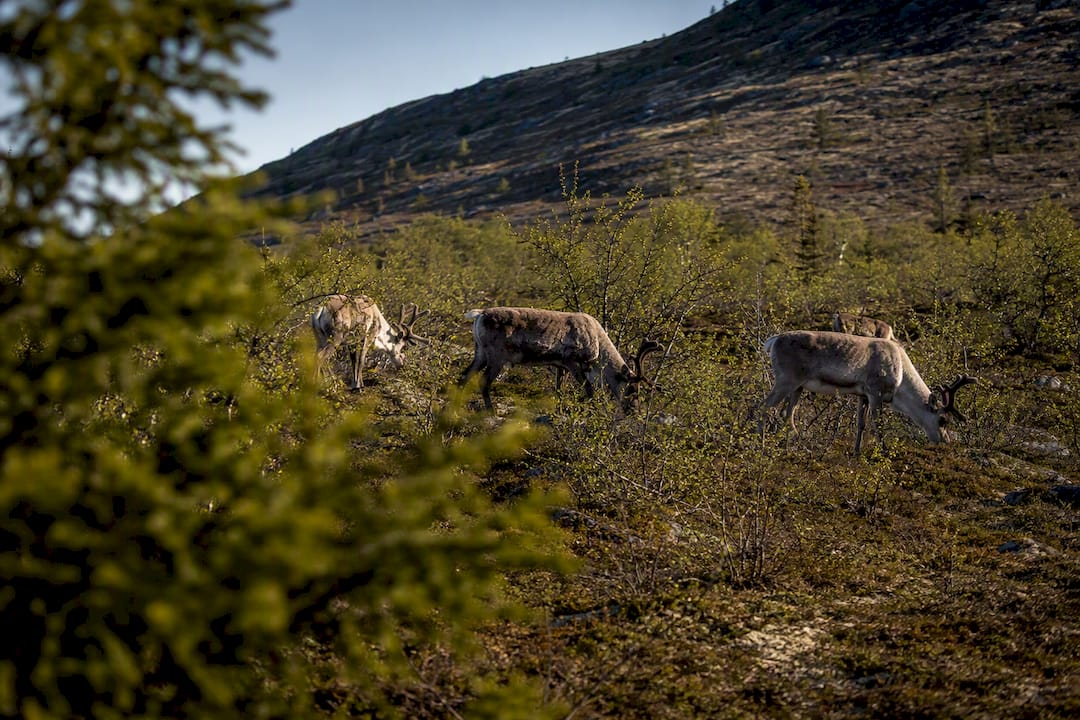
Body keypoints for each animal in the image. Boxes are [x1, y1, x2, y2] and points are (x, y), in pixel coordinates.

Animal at [458, 307, 661, 411]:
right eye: (632, 388)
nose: (634, 410)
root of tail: (480, 314)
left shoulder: (560, 366)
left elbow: (559, 391)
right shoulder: (572, 362)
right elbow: (588, 390)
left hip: (480, 353)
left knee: (464, 377)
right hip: (496, 357)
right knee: (483, 381)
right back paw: (490, 410)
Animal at [761, 330, 977, 454]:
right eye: (942, 420)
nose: (945, 441)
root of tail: (773, 340)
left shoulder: (862, 396)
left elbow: (860, 424)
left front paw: (856, 452)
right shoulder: (875, 393)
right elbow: (877, 425)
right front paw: (884, 451)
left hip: (798, 386)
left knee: (786, 414)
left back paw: (795, 444)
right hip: (786, 380)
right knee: (763, 406)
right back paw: (761, 442)